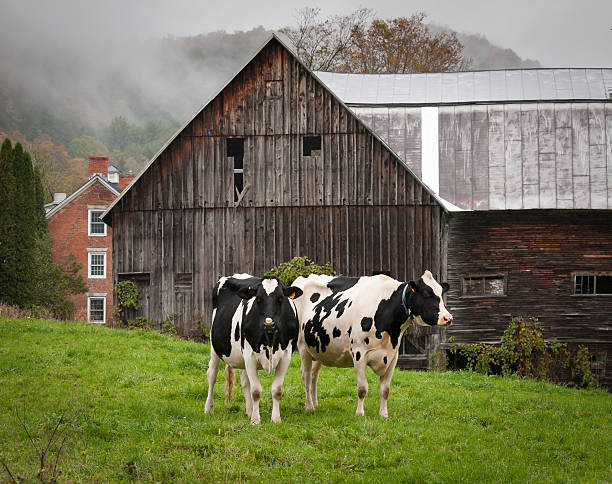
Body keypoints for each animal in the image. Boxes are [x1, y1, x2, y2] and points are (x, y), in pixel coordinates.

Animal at [204, 274, 302, 426]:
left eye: (280, 298)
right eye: (258, 299)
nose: (269, 324)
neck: (270, 339)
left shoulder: (286, 355)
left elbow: (277, 390)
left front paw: (276, 418)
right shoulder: (249, 355)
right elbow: (256, 390)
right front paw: (256, 420)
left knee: (245, 382)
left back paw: (249, 410)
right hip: (214, 345)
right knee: (212, 374)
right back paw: (209, 407)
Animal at [294, 270, 452, 418]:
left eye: (441, 292)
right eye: (426, 293)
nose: (448, 318)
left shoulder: (392, 357)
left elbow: (385, 390)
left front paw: (383, 414)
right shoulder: (359, 353)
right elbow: (362, 388)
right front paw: (360, 413)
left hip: (318, 349)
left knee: (314, 376)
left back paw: (315, 403)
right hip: (303, 347)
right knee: (306, 376)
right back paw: (309, 406)